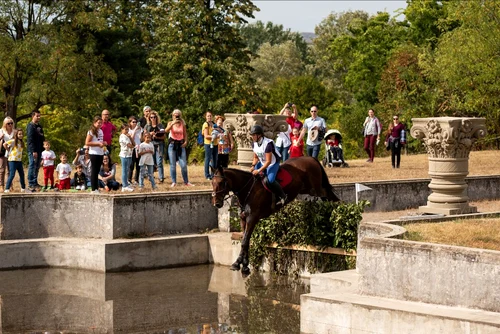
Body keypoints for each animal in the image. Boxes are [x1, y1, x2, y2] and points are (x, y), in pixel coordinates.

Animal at [211, 156, 340, 274]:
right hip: (306, 189)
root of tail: (311, 158)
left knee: (328, 195)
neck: (247, 189)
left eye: (221, 183)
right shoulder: (243, 219)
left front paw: (238, 264)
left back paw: (338, 208)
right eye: (212, 183)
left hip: (316, 189)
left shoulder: (252, 218)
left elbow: (244, 241)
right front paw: (244, 265)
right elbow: (245, 240)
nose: (216, 203)